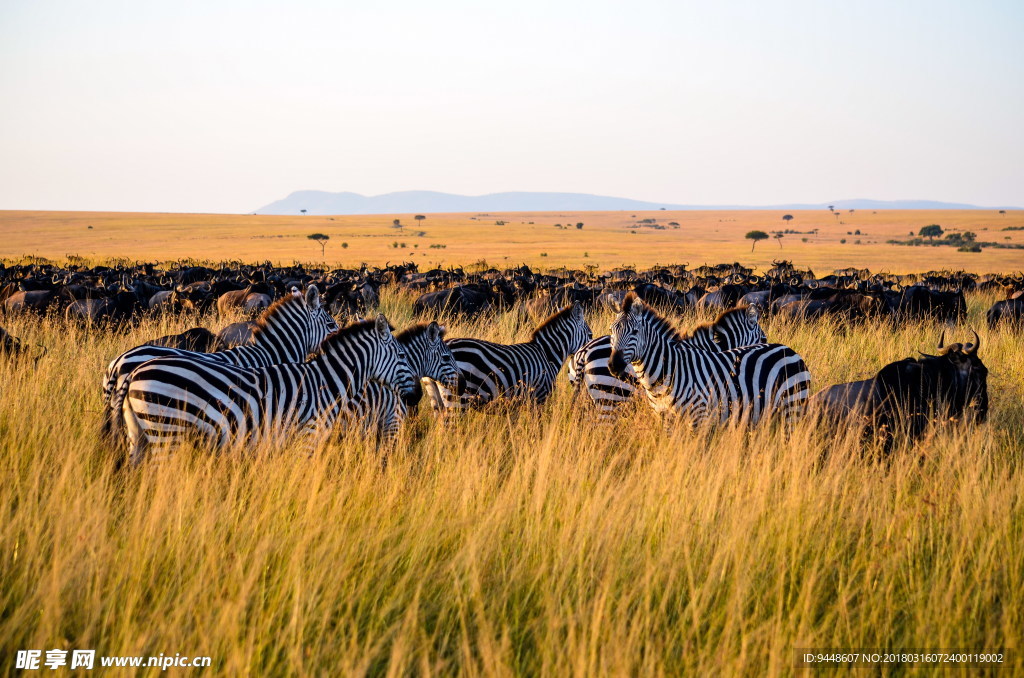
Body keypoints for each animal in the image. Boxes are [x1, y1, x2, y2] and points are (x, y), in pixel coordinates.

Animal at [117, 315, 411, 464]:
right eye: (401, 355)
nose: (416, 395)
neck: (326, 381)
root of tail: (131, 372)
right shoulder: (307, 436)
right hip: (166, 430)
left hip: (139, 434)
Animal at [606, 297, 806, 428]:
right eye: (611, 330)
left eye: (635, 331)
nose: (614, 365)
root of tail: (789, 349)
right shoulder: (666, 418)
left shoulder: (699, 416)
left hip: (791, 407)